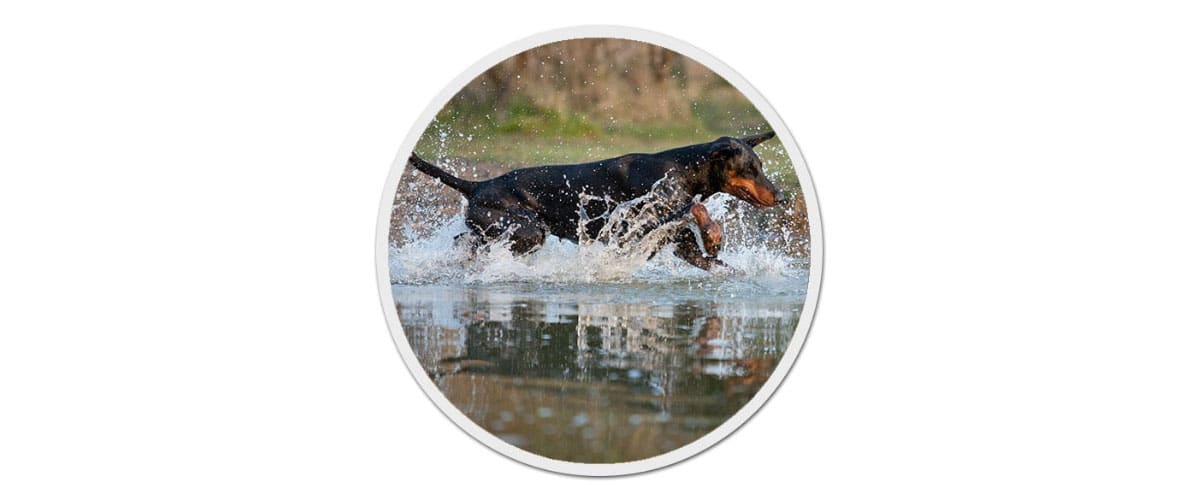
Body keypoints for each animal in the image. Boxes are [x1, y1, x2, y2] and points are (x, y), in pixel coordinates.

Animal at [408, 128, 782, 268]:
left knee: (464, 240)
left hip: (495, 227)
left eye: (761, 165)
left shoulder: (674, 241)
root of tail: (476, 185)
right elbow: (696, 206)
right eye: (751, 168)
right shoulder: (642, 212)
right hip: (525, 230)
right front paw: (714, 235)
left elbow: (704, 256)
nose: (780, 195)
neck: (681, 168)